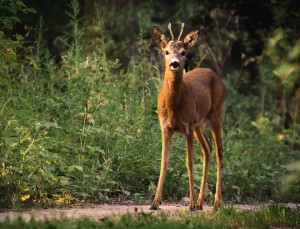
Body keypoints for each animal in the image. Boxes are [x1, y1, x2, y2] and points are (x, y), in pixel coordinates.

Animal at [151, 23, 224, 211]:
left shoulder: (187, 126)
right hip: (199, 124)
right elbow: (164, 161)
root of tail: (215, 74)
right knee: (208, 149)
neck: (173, 108)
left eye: (183, 52)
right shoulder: (165, 127)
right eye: (166, 51)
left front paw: (190, 204)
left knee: (219, 151)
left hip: (216, 113)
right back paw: (200, 202)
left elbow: (189, 163)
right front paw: (154, 202)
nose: (175, 64)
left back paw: (216, 201)